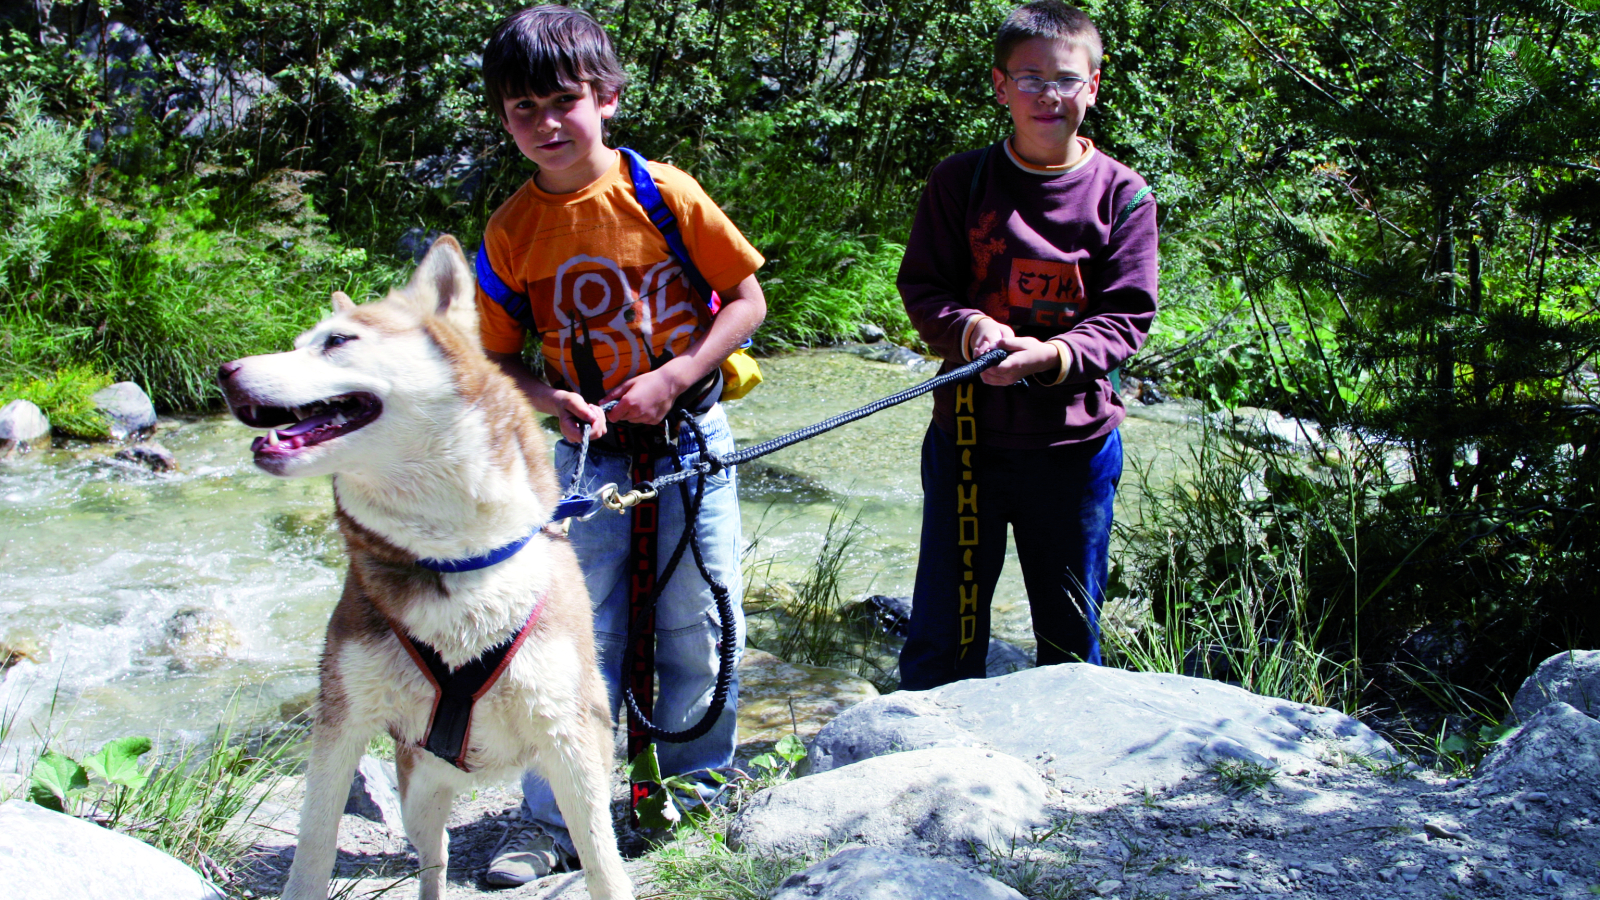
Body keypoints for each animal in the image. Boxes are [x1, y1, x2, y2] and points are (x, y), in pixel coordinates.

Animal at [219, 235, 630, 890]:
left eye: (336, 340)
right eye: (301, 340)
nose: (224, 372)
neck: (457, 561)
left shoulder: (572, 734)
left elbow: (603, 865)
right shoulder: (341, 722)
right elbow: (314, 847)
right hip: (418, 793)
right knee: (432, 858)